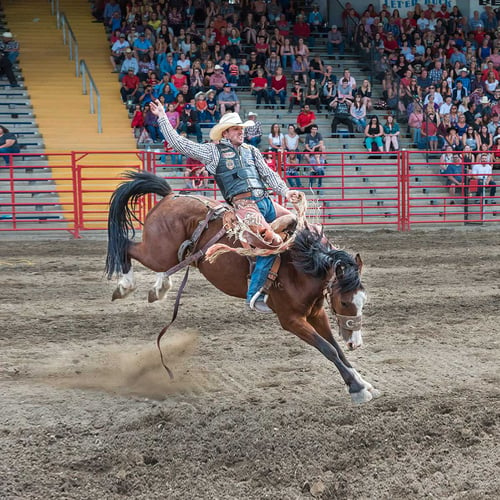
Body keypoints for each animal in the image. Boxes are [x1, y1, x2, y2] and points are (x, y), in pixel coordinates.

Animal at [105, 170, 378, 404]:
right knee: (127, 246)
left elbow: (335, 348)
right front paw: (357, 388)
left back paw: (159, 287)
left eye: (363, 301)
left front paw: (363, 382)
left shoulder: (316, 313)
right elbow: (327, 349)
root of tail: (171, 195)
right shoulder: (290, 319)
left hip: (170, 255)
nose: (356, 343)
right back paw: (125, 286)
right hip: (158, 253)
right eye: (345, 301)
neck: (302, 265)